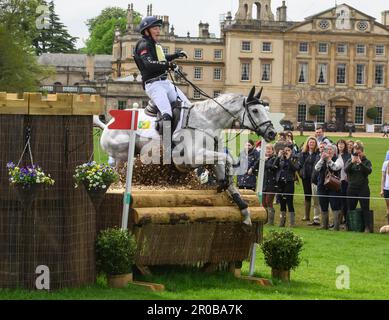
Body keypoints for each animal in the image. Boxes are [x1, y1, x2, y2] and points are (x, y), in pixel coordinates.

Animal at [95, 86, 274, 226]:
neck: (208, 122)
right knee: (118, 176)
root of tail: (107, 124)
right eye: (255, 110)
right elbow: (228, 159)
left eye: (265, 109)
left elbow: (228, 177)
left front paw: (244, 211)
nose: (272, 133)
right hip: (121, 156)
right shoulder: (192, 158)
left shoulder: (211, 157)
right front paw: (224, 180)